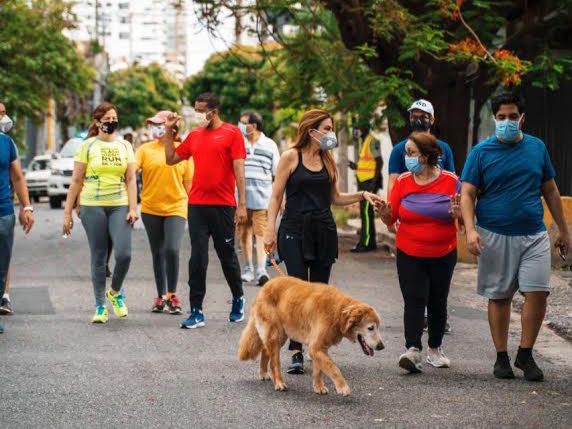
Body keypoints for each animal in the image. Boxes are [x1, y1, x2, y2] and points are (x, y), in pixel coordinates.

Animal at [237, 276, 384, 396]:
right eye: (371, 328)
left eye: (378, 327)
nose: (381, 346)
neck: (337, 312)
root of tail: (265, 286)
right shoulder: (316, 347)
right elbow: (333, 367)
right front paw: (342, 386)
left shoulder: (320, 348)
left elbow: (319, 369)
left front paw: (318, 387)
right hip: (275, 335)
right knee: (274, 362)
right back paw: (279, 382)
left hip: (280, 335)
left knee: (265, 350)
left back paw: (263, 373)